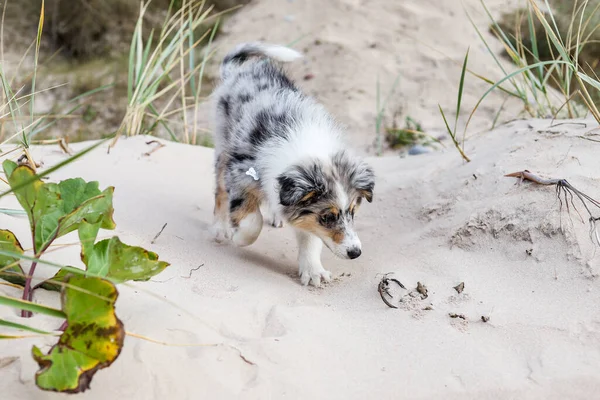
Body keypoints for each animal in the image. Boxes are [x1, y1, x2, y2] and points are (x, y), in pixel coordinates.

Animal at [209, 43, 372, 288]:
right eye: (327, 217)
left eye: (353, 211)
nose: (355, 253)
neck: (307, 148)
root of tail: (238, 73)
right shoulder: (239, 173)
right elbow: (252, 222)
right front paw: (239, 238)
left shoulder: (304, 209)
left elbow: (310, 238)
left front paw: (313, 271)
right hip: (223, 148)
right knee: (220, 193)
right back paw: (220, 229)